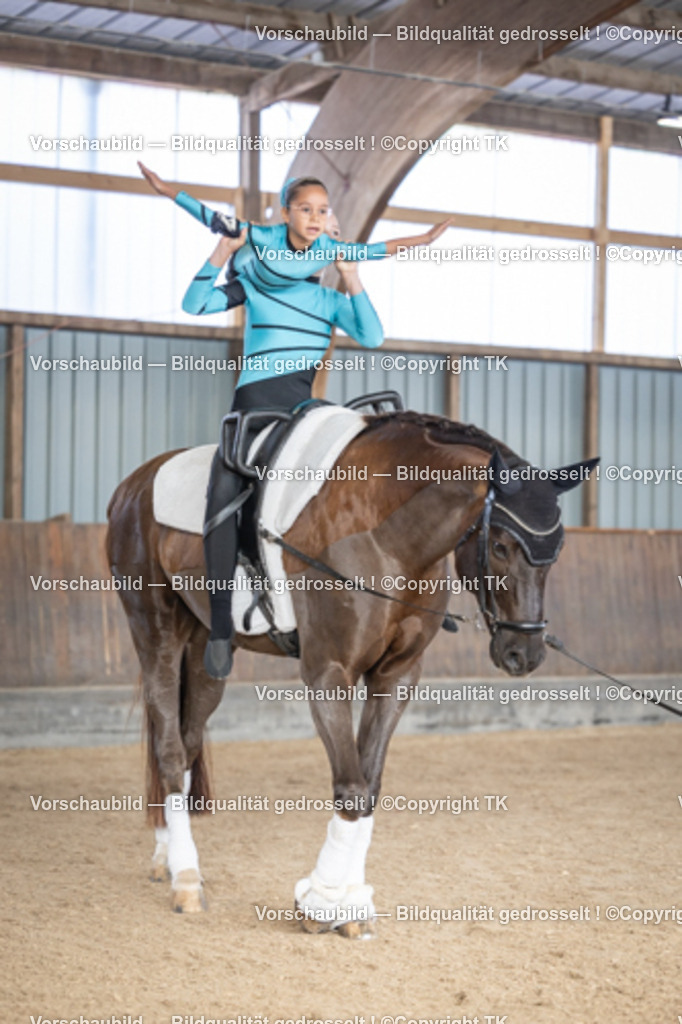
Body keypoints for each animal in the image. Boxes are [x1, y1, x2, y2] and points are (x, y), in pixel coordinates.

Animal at [106, 410, 596, 937]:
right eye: (501, 547)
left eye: (557, 550)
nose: (524, 653)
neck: (388, 538)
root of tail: (134, 484)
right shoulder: (328, 672)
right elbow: (352, 788)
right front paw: (320, 901)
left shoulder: (397, 676)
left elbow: (371, 783)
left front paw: (351, 902)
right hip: (155, 631)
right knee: (169, 748)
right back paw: (187, 881)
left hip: (205, 650)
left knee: (187, 740)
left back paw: (168, 857)